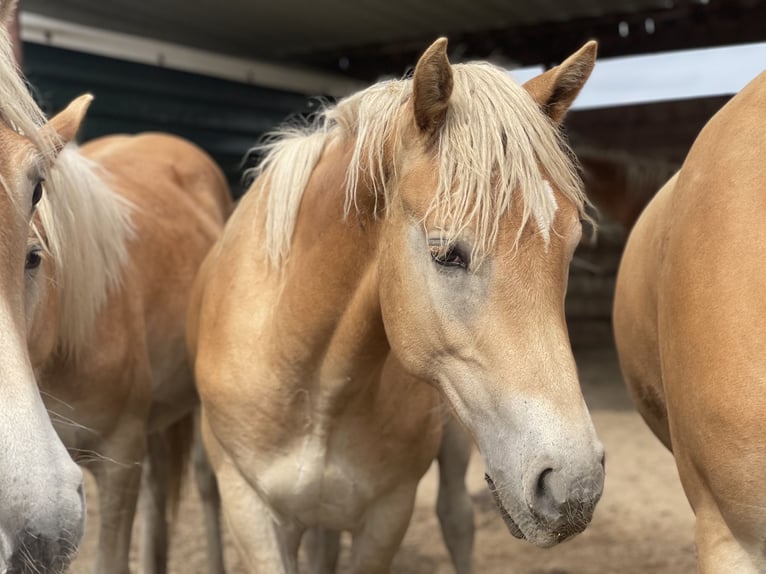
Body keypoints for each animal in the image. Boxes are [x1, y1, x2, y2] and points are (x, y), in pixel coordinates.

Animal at [188, 38, 608, 572]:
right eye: (445, 253)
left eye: (570, 247)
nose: (575, 485)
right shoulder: (251, 512)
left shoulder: (388, 514)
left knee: (456, 518)